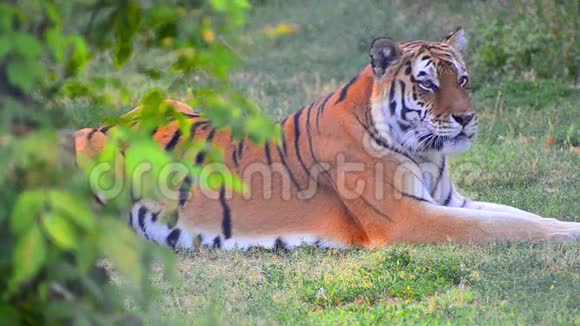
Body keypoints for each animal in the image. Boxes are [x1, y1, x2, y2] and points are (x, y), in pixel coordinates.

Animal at [75, 28, 576, 251]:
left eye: (464, 80)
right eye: (428, 84)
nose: (467, 118)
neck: (429, 155)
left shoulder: (452, 201)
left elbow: (520, 214)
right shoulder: (410, 218)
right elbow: (506, 226)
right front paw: (569, 233)